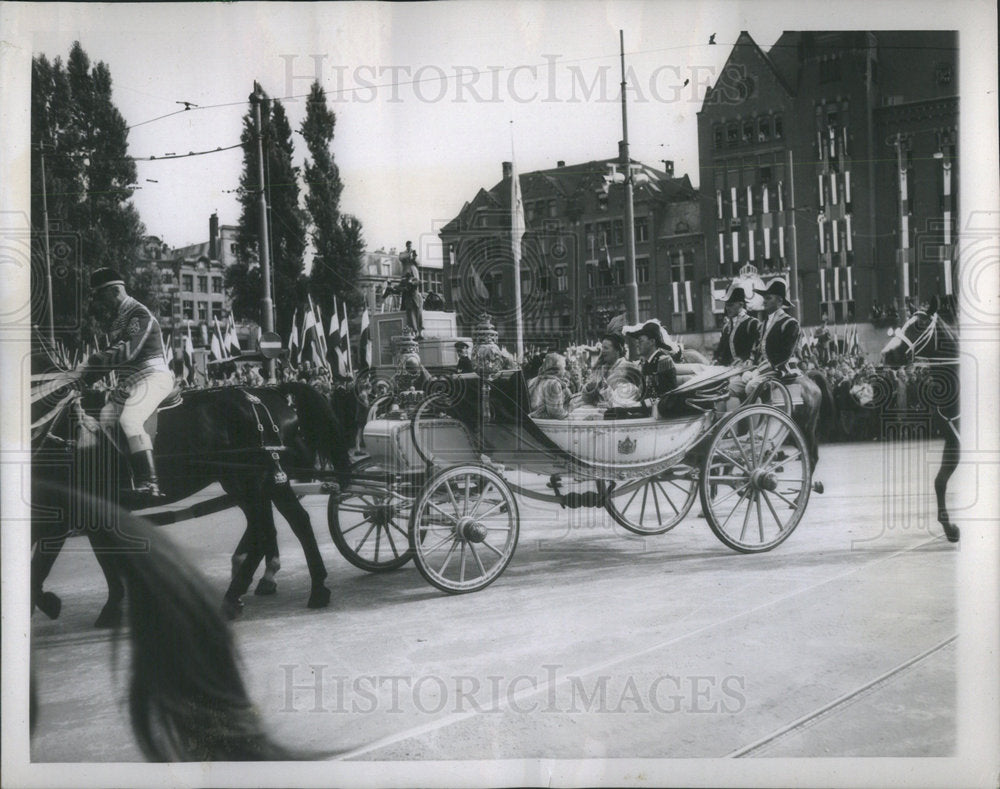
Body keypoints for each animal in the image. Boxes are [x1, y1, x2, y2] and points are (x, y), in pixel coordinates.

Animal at [32, 378, 352, 624]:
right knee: (279, 525)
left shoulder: (67, 513)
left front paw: (68, 604)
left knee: (278, 527)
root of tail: (269, 392)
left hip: (254, 481)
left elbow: (50, 564)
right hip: (255, 483)